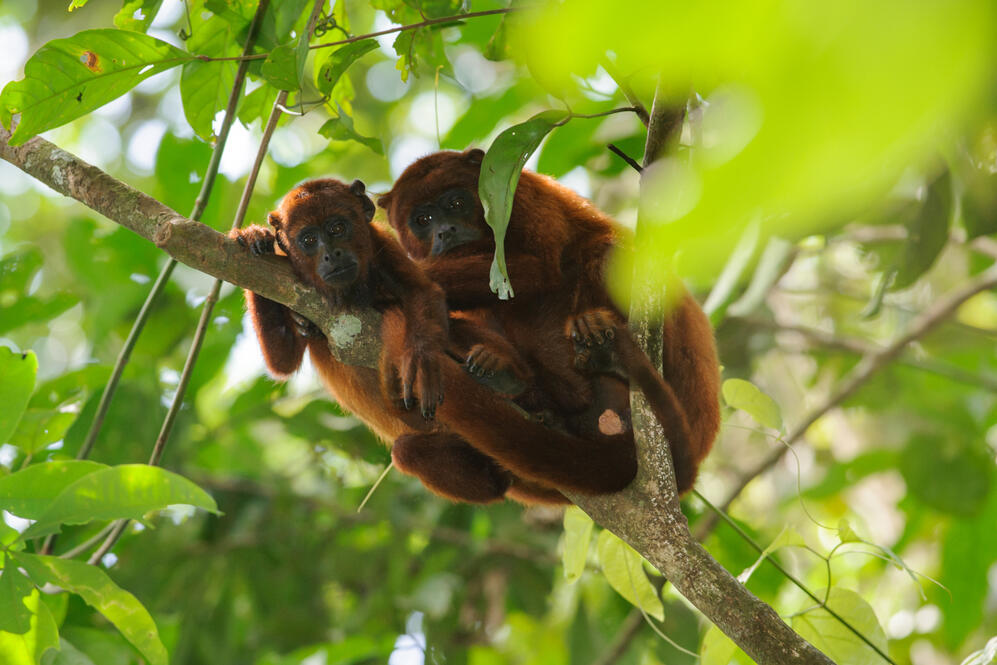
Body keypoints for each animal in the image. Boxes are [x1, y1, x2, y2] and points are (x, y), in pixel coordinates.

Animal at [230, 178, 637, 505]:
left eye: (338, 227)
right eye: (309, 240)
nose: (332, 254)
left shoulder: (383, 246)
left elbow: (424, 295)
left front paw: (420, 356)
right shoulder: (289, 276)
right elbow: (282, 362)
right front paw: (254, 238)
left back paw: (511, 379)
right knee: (411, 454)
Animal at [378, 149, 721, 494]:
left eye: (456, 203)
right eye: (422, 220)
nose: (445, 231)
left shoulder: (521, 197)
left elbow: (539, 267)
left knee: (606, 250)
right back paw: (511, 378)